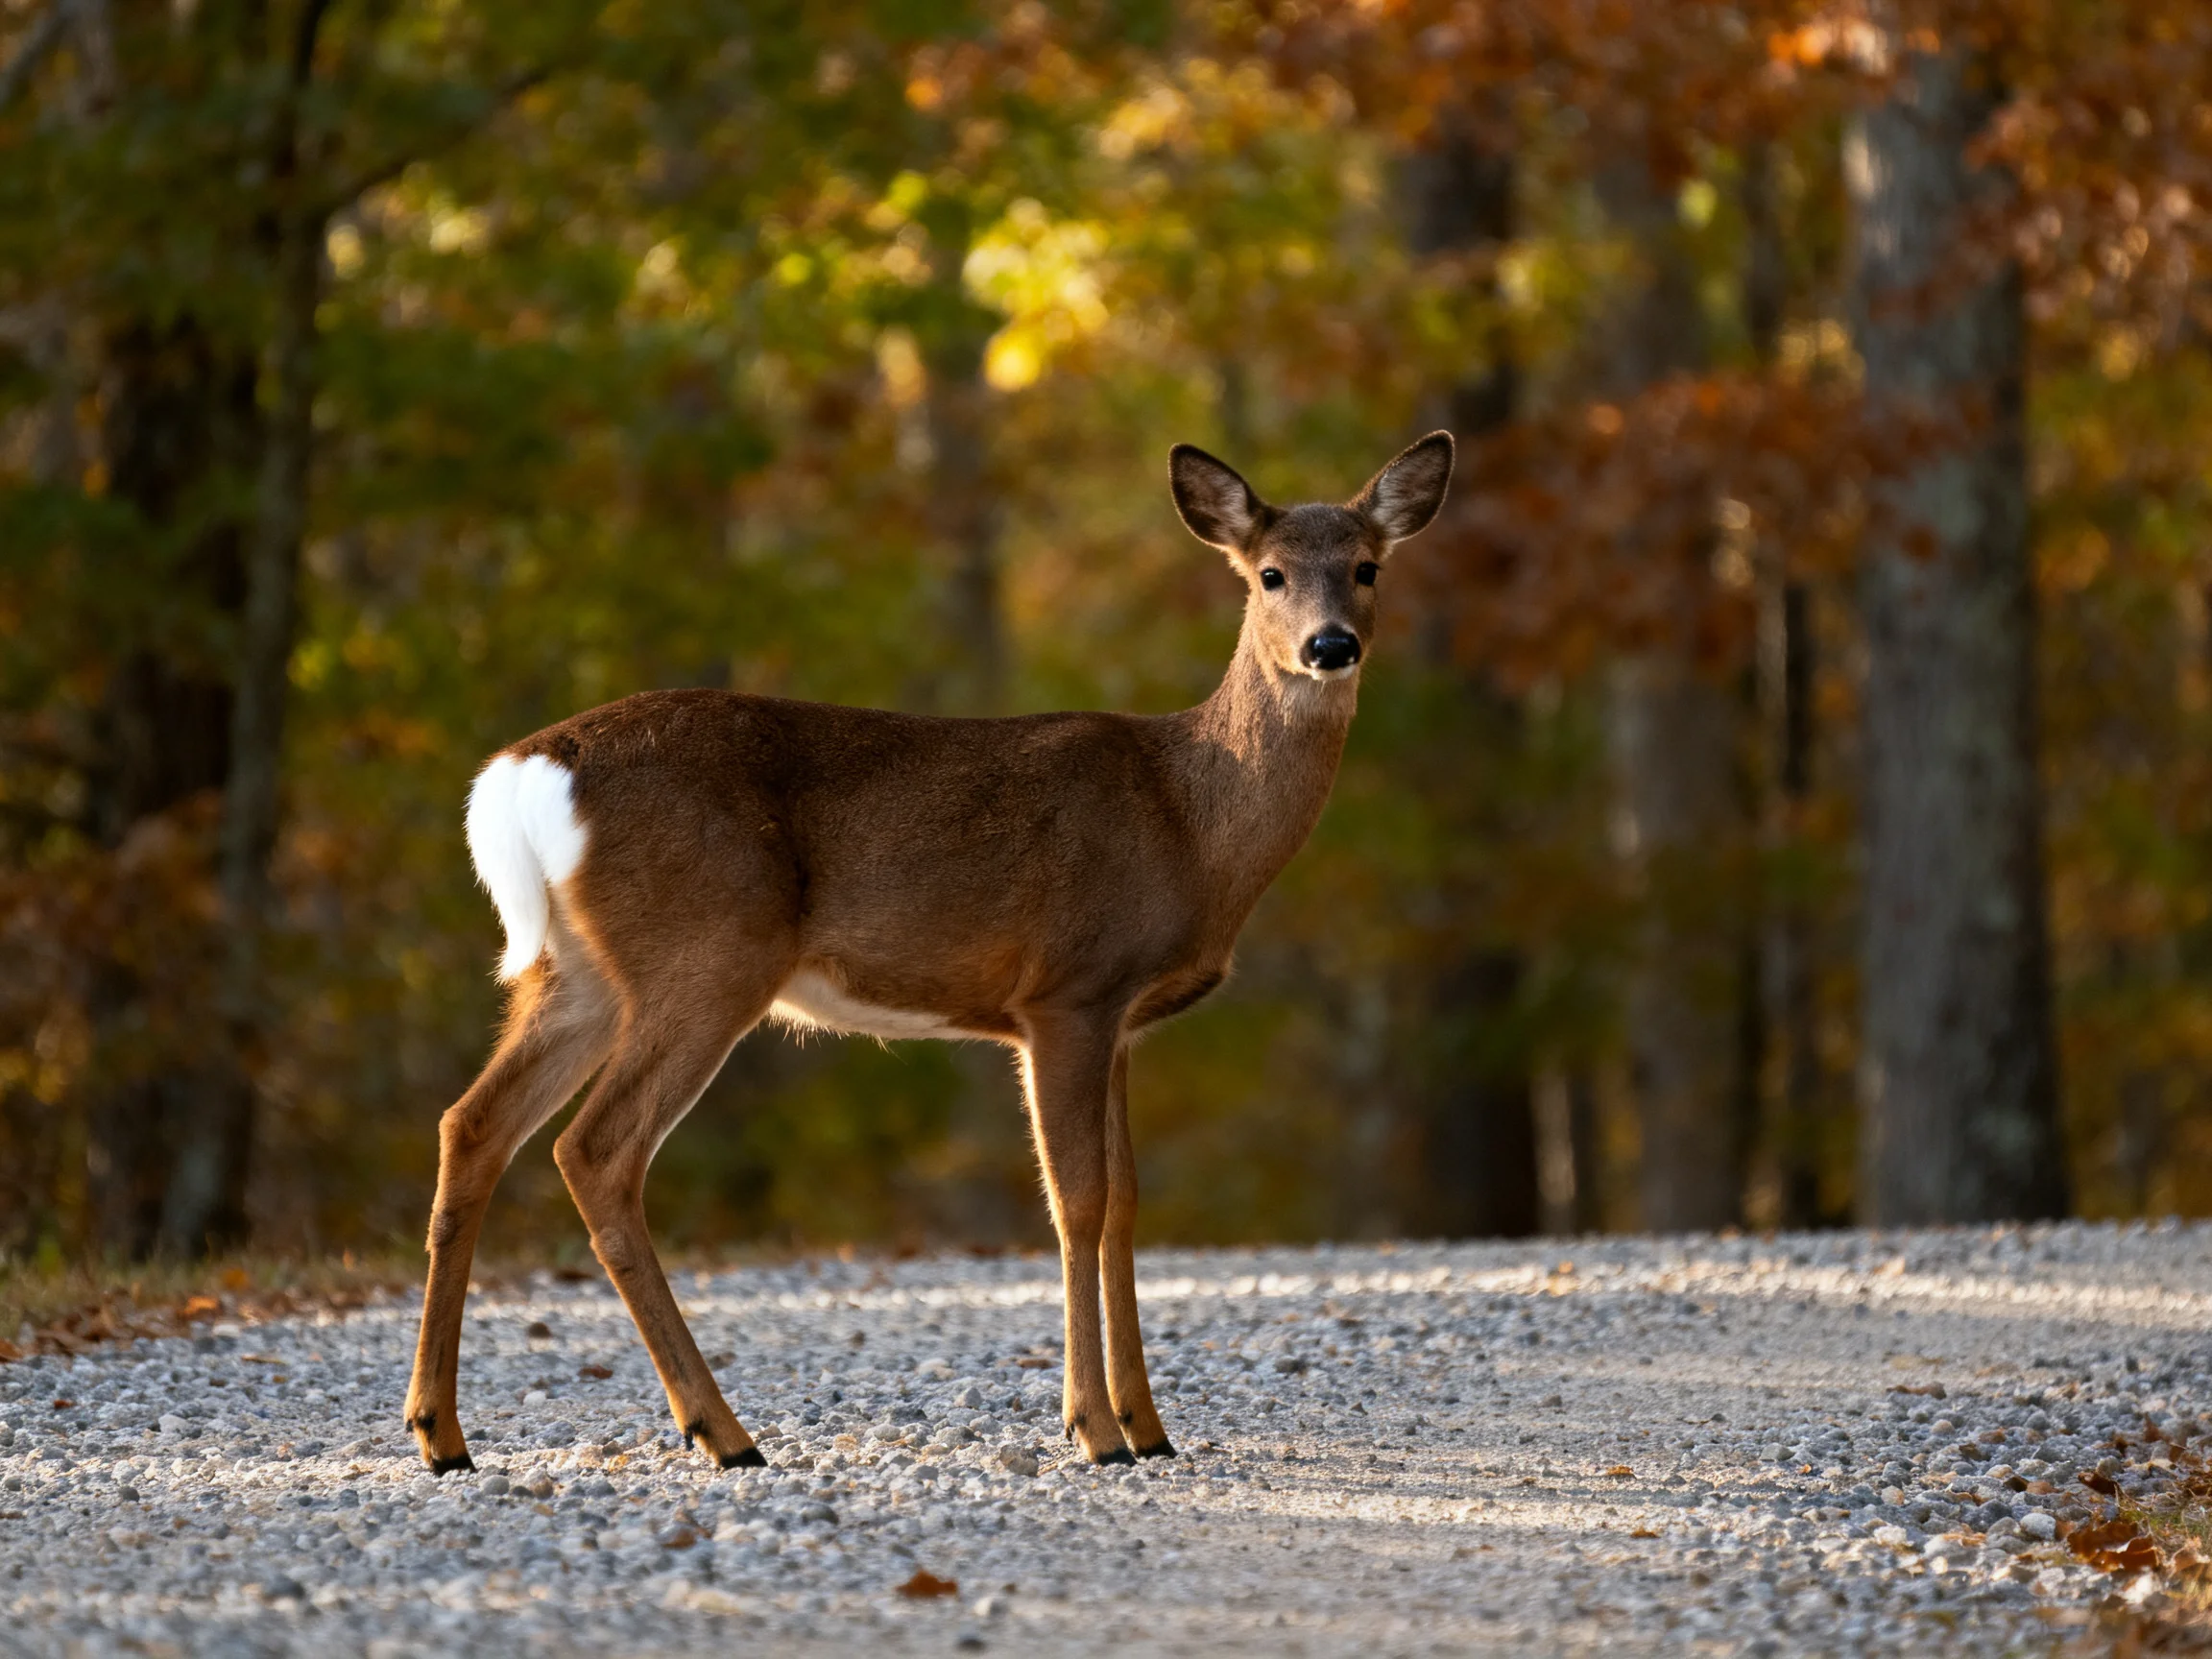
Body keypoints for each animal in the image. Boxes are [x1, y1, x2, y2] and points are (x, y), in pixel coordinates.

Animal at [402, 431, 1454, 1472]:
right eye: (1270, 573)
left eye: (1367, 566)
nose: (1331, 645)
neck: (1191, 820)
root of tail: (524, 774)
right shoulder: (1066, 993)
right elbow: (1076, 1201)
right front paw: (1096, 1431)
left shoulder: (1120, 1022)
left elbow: (1124, 1202)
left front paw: (1150, 1428)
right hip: (705, 955)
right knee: (595, 1149)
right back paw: (723, 1435)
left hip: (578, 974)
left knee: (472, 1124)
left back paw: (443, 1435)